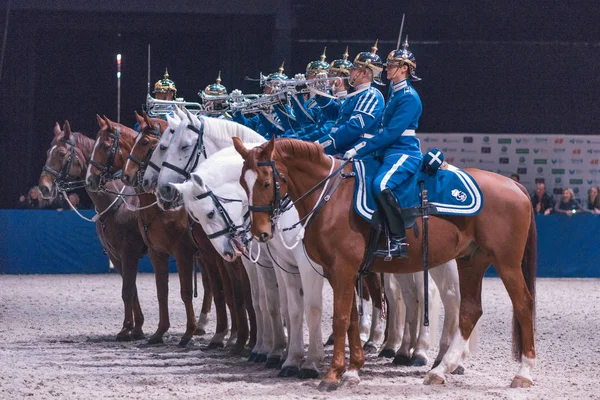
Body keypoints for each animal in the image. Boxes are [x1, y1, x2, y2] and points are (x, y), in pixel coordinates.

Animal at [38, 121, 148, 340]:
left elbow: (127, 290)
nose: (44, 187)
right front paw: (134, 327)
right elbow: (131, 290)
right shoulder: (116, 256)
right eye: (48, 151)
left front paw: (129, 329)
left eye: (61, 153)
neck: (120, 202)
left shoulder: (129, 252)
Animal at [171, 144, 330, 378]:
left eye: (210, 213)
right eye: (196, 217)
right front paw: (273, 352)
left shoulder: (306, 263)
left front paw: (301, 358)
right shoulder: (267, 263)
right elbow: (267, 302)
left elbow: (306, 306)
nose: (227, 253)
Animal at [232, 138, 536, 390]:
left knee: (522, 304)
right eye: (243, 183)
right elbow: (352, 319)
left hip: (507, 263)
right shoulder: (339, 272)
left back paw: (524, 373)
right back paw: (440, 370)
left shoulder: (342, 270)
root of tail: (514, 185)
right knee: (470, 310)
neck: (332, 198)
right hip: (471, 261)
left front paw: (332, 375)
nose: (260, 232)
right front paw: (352, 370)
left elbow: (340, 318)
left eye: (266, 182)